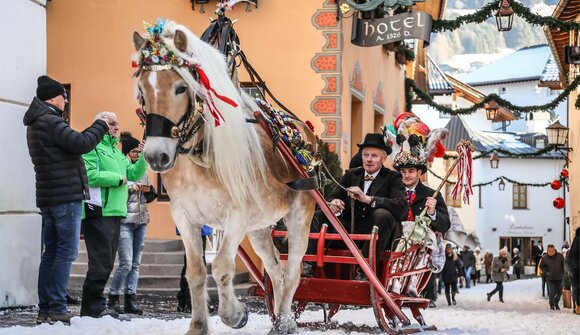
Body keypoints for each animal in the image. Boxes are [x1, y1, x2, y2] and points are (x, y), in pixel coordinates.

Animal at [133, 19, 318, 335]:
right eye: (142, 90)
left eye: (181, 87)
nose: (157, 156)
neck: (198, 156)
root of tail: (301, 132)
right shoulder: (185, 217)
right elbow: (196, 272)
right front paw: (198, 326)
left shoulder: (237, 216)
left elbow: (220, 266)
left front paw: (235, 314)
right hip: (259, 228)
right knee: (276, 270)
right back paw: (279, 320)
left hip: (299, 216)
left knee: (293, 271)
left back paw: (284, 321)